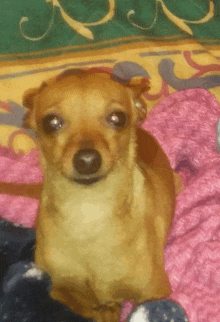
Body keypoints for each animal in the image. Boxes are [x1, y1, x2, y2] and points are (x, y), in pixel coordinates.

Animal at [21, 70, 175, 322]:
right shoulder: (58, 287)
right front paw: (105, 310)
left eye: (117, 118)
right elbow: (81, 305)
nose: (87, 160)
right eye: (51, 122)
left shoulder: (155, 292)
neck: (89, 212)